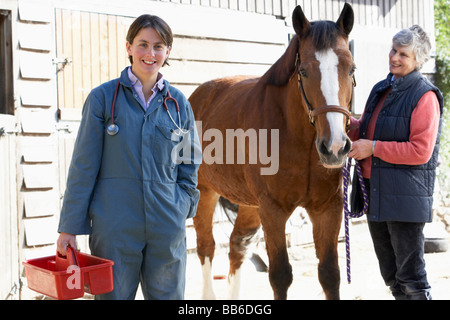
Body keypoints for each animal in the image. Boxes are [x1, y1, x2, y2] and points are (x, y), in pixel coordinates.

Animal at [189, 4, 356, 300]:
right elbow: (280, 275)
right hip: (205, 192)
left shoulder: (328, 208)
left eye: (351, 69)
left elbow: (329, 274)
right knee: (206, 247)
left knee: (237, 246)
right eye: (304, 71)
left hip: (249, 205)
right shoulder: (273, 210)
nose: (335, 147)